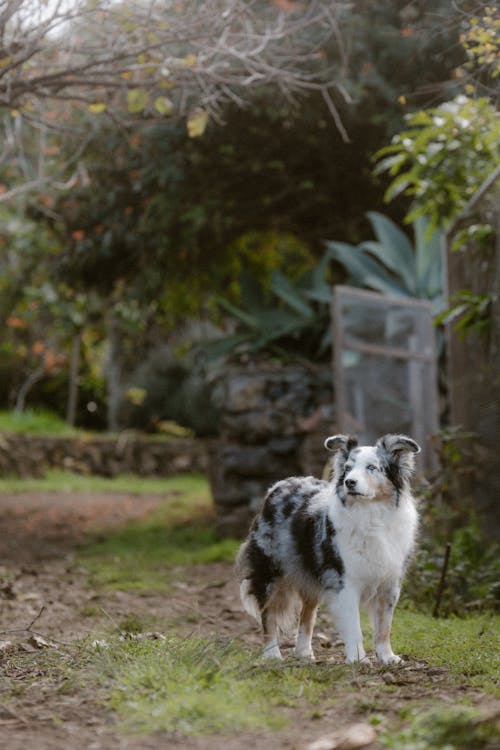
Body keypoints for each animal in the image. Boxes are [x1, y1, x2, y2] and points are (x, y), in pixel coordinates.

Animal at [236, 432, 420, 668]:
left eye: (372, 467)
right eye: (348, 468)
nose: (349, 482)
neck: (371, 515)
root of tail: (279, 485)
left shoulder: (389, 582)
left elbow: (384, 627)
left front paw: (387, 657)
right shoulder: (345, 581)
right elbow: (354, 626)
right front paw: (358, 659)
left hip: (311, 576)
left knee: (307, 615)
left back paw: (304, 653)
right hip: (270, 572)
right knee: (268, 614)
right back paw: (272, 654)